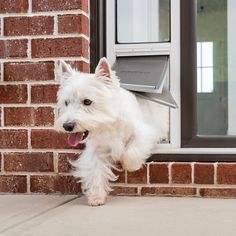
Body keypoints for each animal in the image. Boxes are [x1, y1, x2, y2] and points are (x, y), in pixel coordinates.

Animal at [56, 58, 169, 206]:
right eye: (66, 102)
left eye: (87, 101)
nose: (67, 126)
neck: (108, 123)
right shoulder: (96, 149)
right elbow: (95, 171)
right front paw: (96, 196)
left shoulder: (144, 132)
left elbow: (131, 153)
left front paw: (130, 165)